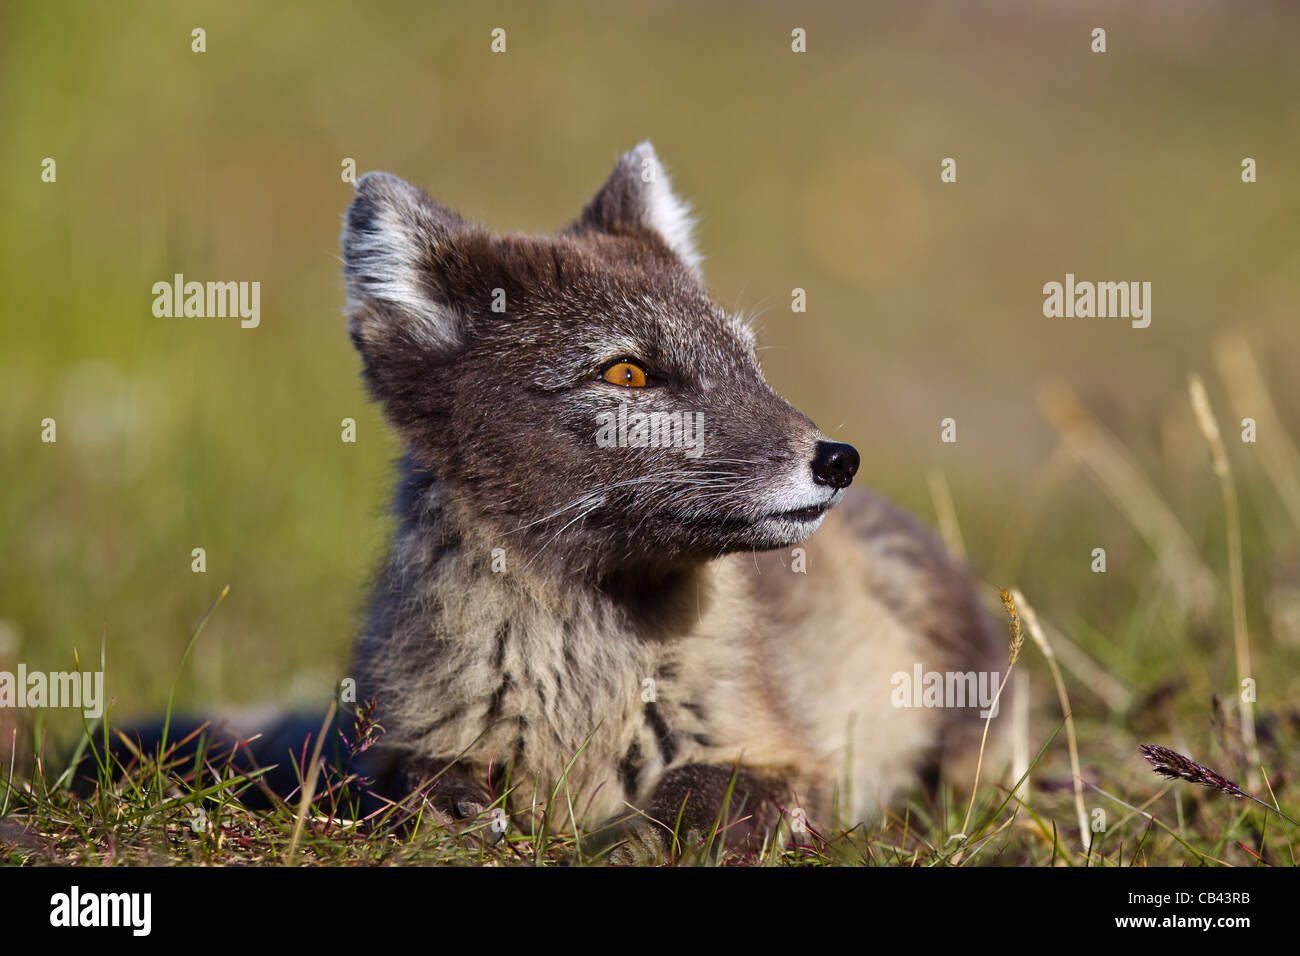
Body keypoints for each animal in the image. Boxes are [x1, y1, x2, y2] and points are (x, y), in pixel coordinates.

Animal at [338, 143, 1003, 858]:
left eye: (747, 361)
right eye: (627, 373)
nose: (838, 459)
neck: (584, 685)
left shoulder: (785, 756)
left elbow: (694, 795)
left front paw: (627, 847)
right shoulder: (395, 742)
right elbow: (416, 780)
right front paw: (458, 811)